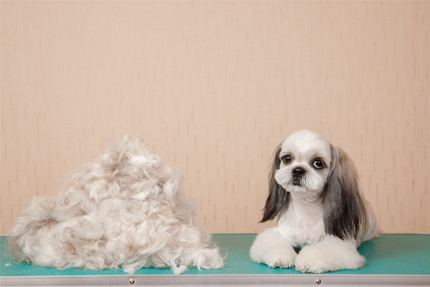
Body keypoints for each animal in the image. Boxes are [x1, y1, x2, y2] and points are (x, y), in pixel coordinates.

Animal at [250, 130, 378, 274]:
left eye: (318, 163)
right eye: (287, 158)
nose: (298, 170)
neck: (307, 209)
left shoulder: (339, 244)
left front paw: (309, 261)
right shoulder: (277, 233)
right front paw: (280, 257)